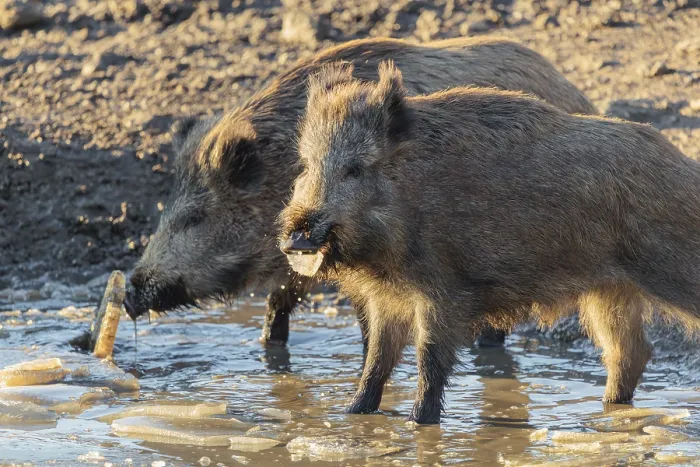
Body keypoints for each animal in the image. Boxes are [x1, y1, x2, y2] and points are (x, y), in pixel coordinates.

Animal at [125, 36, 597, 352]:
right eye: (166, 210)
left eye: (195, 217)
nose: (129, 293)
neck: (282, 172)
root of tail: (579, 96)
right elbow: (278, 306)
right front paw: (267, 351)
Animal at [279, 60, 700, 424]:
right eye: (307, 166)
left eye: (355, 169)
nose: (296, 235)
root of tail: (684, 165)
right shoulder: (386, 300)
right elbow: (376, 363)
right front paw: (353, 414)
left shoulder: (444, 291)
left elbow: (429, 360)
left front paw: (420, 423)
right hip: (609, 290)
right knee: (629, 353)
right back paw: (609, 410)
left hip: (671, 267)